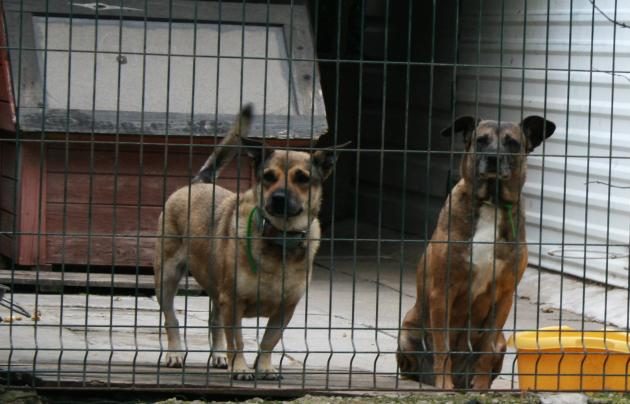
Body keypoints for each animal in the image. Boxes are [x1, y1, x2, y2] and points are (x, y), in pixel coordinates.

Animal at [155, 104, 348, 378]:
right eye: (268, 176)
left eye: (302, 178)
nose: (278, 198)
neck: (280, 238)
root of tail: (198, 184)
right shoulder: (233, 301)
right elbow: (237, 340)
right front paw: (240, 368)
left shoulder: (285, 308)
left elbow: (269, 340)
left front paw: (264, 367)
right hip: (167, 276)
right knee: (171, 318)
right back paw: (174, 353)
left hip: (214, 286)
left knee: (214, 321)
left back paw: (218, 356)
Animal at [400, 115, 556, 390]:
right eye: (481, 140)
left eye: (512, 143)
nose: (493, 157)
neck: (491, 204)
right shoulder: (442, 291)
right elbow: (442, 346)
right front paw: (444, 385)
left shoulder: (503, 296)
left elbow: (485, 350)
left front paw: (482, 388)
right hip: (407, 332)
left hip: (503, 341)